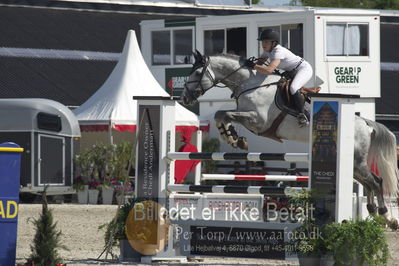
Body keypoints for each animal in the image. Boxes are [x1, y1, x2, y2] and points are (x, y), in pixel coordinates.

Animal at [182, 50, 399, 229]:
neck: (249, 84)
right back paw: (375, 212)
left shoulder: (258, 121)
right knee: (369, 183)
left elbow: (224, 113)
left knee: (376, 182)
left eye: (197, 73)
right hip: (352, 166)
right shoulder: (248, 117)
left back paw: (387, 217)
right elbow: (221, 114)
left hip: (356, 161)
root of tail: (365, 123)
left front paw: (235, 138)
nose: (185, 98)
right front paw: (233, 137)